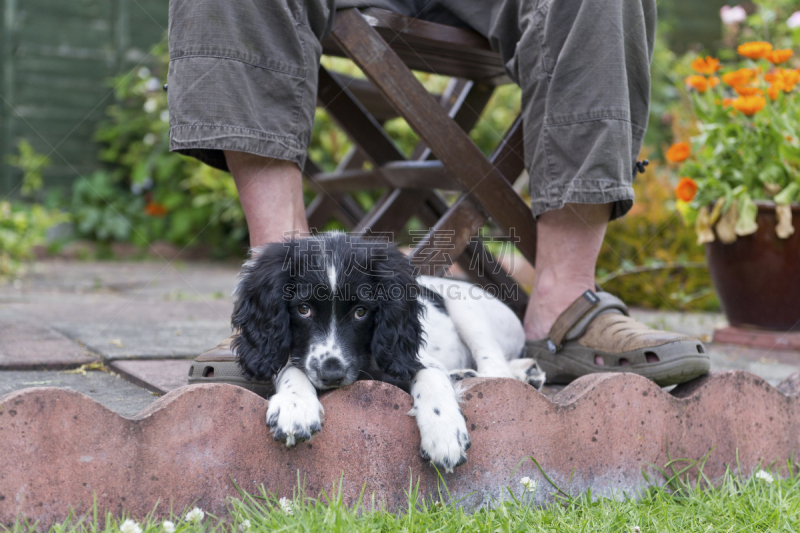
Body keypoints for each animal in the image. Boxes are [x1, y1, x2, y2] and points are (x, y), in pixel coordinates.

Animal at [230, 233, 544, 470]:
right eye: (303, 309)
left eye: (360, 312)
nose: (332, 374)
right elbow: (291, 366)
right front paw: (295, 405)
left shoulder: (407, 355)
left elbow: (431, 375)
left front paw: (443, 431)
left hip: (467, 309)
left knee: (497, 369)